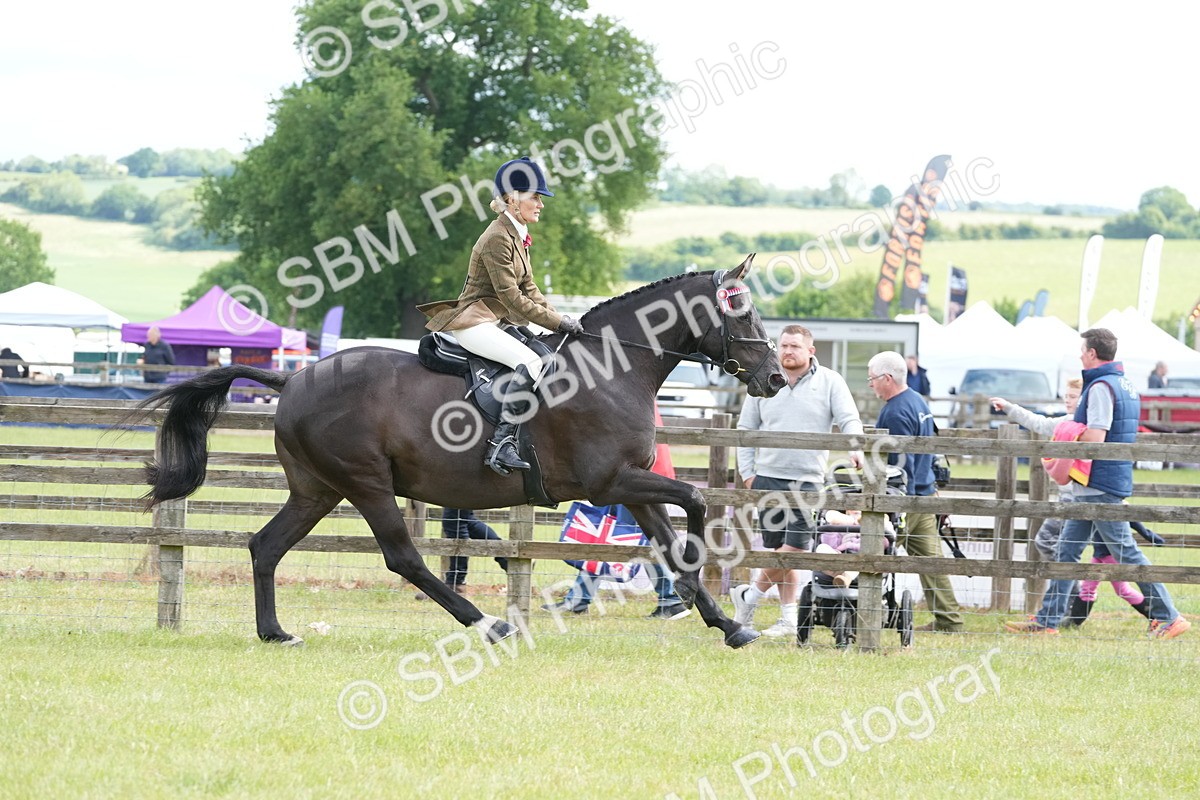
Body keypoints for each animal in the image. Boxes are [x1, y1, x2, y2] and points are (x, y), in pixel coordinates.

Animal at [130, 255, 785, 648]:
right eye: (741, 308)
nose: (776, 377)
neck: (613, 366)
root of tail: (292, 379)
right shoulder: (610, 482)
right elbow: (695, 500)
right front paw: (707, 590)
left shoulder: (632, 481)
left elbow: (672, 539)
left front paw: (727, 624)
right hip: (365, 483)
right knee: (403, 557)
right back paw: (489, 623)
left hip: (318, 488)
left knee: (266, 546)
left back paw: (275, 632)